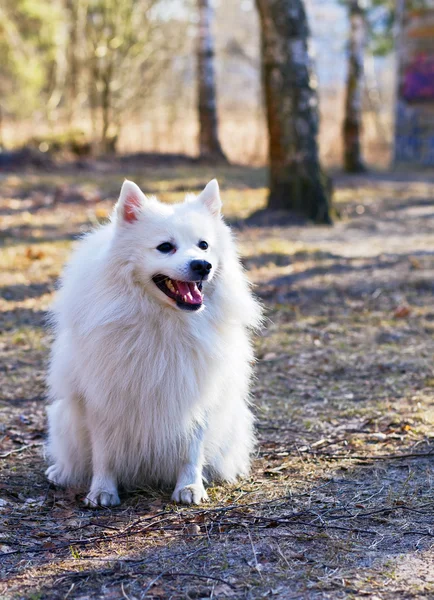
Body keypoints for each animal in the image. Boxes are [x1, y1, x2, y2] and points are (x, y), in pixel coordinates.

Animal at [45, 179, 262, 506]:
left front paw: (190, 487)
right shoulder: (102, 397)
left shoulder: (197, 391)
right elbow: (104, 453)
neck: (163, 321)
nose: (203, 265)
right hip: (63, 418)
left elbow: (191, 449)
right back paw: (60, 472)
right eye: (165, 247)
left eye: (204, 245)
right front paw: (102, 491)